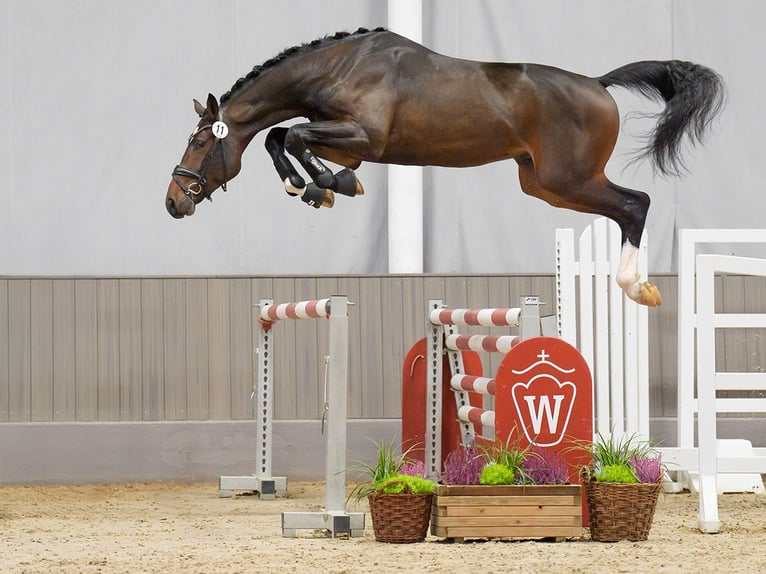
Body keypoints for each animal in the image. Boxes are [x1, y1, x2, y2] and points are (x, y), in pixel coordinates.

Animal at [166, 28, 728, 306]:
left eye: (200, 141)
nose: (173, 203)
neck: (338, 67)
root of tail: (598, 82)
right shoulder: (347, 140)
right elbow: (280, 136)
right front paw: (318, 185)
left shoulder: (362, 137)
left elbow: (296, 136)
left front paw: (323, 186)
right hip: (545, 185)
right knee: (626, 208)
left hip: (568, 179)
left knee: (636, 204)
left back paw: (637, 287)